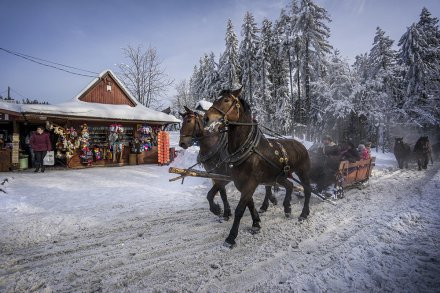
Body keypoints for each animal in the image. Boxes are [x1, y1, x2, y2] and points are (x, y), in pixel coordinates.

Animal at [204, 88, 312, 248]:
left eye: (226, 100)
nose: (206, 118)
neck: (249, 150)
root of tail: (300, 144)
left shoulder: (251, 182)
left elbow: (240, 209)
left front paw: (231, 237)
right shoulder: (239, 182)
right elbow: (249, 203)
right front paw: (255, 223)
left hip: (303, 171)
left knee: (307, 189)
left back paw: (304, 214)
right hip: (279, 176)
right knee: (290, 185)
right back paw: (287, 208)